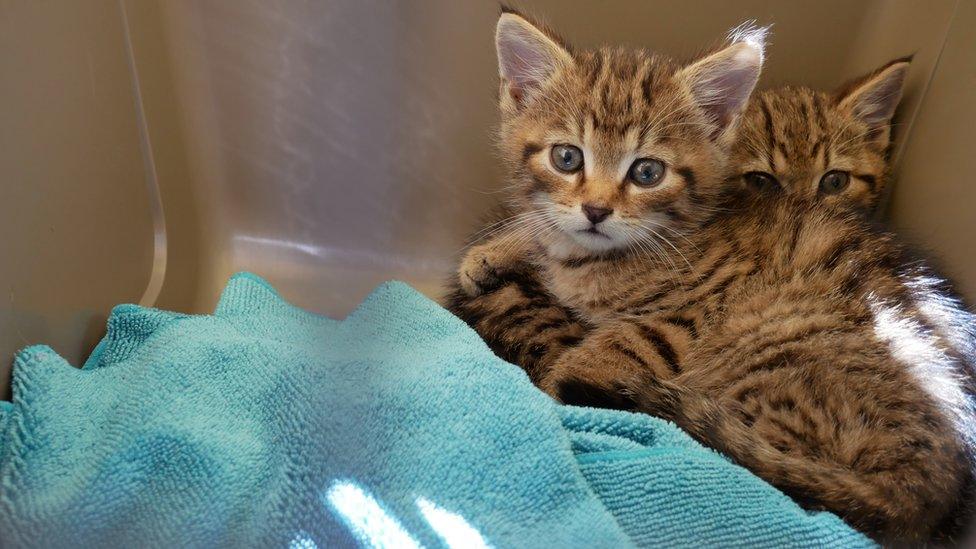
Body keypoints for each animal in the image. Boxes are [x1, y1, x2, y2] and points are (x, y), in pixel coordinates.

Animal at [448, 9, 976, 544]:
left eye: (647, 173)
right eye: (566, 157)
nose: (596, 210)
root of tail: (924, 491)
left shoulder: (691, 312)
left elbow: (609, 348)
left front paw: (557, 394)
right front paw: (492, 254)